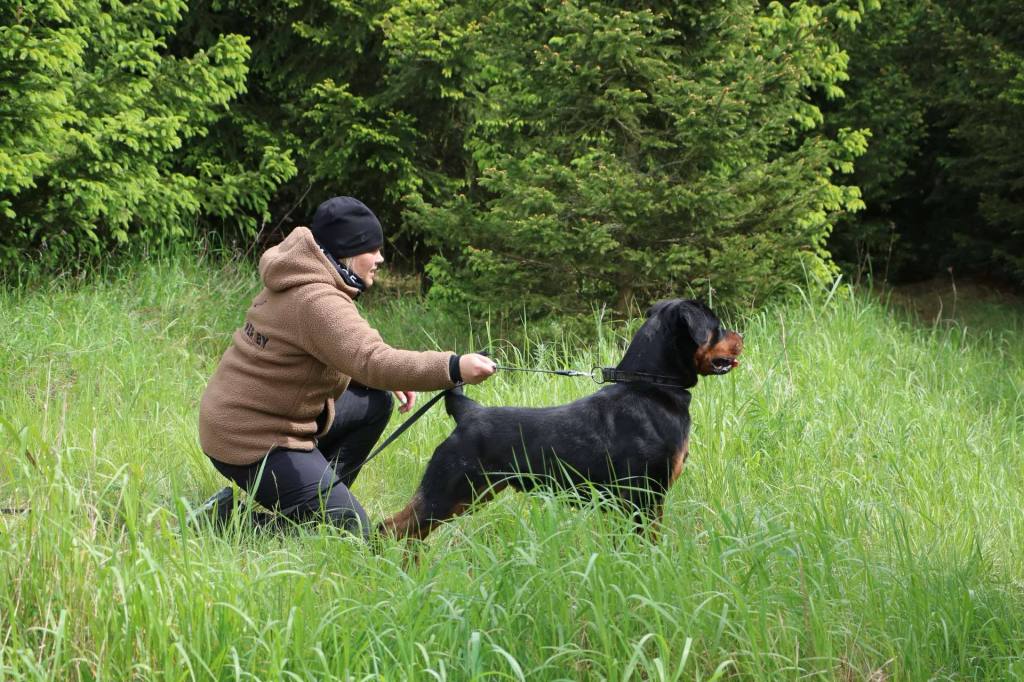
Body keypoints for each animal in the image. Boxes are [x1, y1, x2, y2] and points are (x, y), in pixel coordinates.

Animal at [379, 299, 743, 540]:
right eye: (717, 326)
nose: (740, 337)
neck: (649, 387)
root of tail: (468, 412)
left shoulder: (636, 502)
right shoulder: (645, 496)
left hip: (469, 495)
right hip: (447, 490)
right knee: (389, 529)